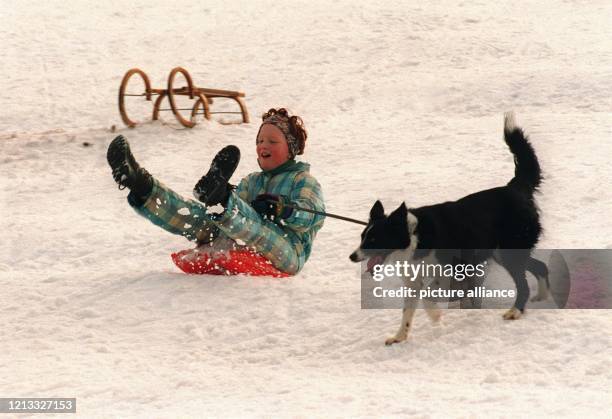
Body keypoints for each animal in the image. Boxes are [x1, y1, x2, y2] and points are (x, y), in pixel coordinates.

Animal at [350, 113, 548, 346]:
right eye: (362, 236)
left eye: (374, 239)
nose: (352, 256)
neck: (415, 238)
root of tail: (516, 188)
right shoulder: (414, 282)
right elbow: (407, 312)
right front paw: (400, 337)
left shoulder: (450, 269)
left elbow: (428, 297)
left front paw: (435, 316)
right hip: (502, 252)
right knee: (541, 267)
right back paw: (542, 296)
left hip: (509, 252)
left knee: (524, 283)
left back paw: (515, 311)